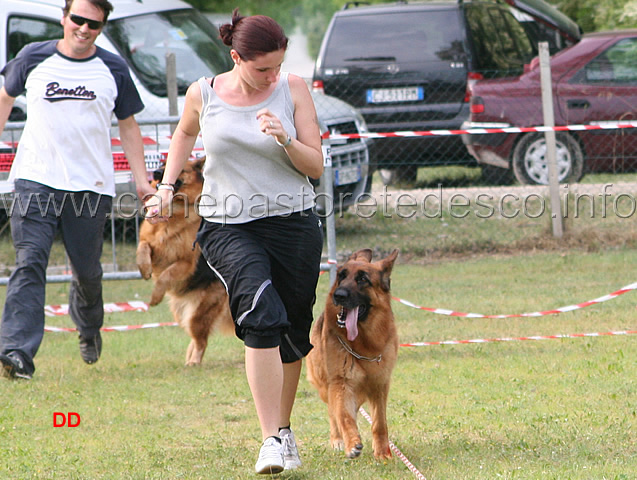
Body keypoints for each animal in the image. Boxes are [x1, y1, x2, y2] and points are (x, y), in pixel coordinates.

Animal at [135, 158, 232, 364]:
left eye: (181, 169)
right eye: (161, 163)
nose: (156, 173)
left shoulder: (185, 264)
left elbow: (165, 276)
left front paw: (155, 297)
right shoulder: (152, 245)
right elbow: (143, 248)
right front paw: (144, 269)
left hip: (199, 315)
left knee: (201, 340)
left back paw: (194, 362)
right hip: (181, 313)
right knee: (195, 339)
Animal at [304, 249, 398, 460]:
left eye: (362, 279)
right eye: (341, 276)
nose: (338, 295)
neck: (364, 346)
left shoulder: (380, 385)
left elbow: (379, 423)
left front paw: (382, 452)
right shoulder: (341, 384)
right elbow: (344, 416)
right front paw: (352, 443)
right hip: (326, 385)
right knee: (333, 413)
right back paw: (338, 440)